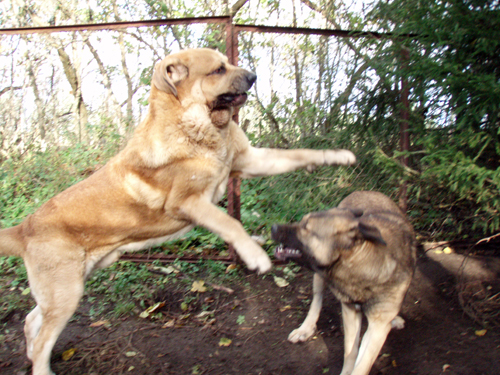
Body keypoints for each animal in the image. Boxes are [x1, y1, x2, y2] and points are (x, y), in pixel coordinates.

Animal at [0, 49, 356, 375]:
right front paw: (255, 255)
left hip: (69, 286)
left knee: (32, 322)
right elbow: (228, 222)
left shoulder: (250, 160)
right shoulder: (188, 202)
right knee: (42, 338)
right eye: (218, 69)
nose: (254, 76)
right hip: (65, 293)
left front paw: (337, 156)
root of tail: (24, 227)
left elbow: (299, 153)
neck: (199, 124)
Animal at [272, 192, 416, 374]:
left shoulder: (377, 327)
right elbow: (350, 352)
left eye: (306, 228)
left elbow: (363, 364)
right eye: (302, 222)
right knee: (316, 300)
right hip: (319, 276)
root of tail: (364, 191)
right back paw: (306, 328)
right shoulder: (350, 312)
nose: (273, 227)